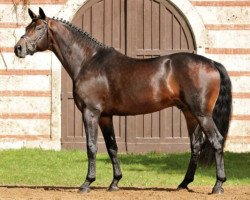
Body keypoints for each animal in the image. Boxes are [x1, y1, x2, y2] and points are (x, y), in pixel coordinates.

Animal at [14, 7, 231, 194]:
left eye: (39, 28)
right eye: (26, 28)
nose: (18, 48)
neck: (88, 61)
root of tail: (212, 63)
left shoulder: (90, 113)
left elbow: (91, 147)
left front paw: (87, 183)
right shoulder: (105, 116)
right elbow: (112, 147)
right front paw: (115, 182)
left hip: (202, 114)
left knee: (217, 141)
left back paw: (218, 186)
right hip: (190, 114)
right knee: (196, 145)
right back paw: (184, 183)